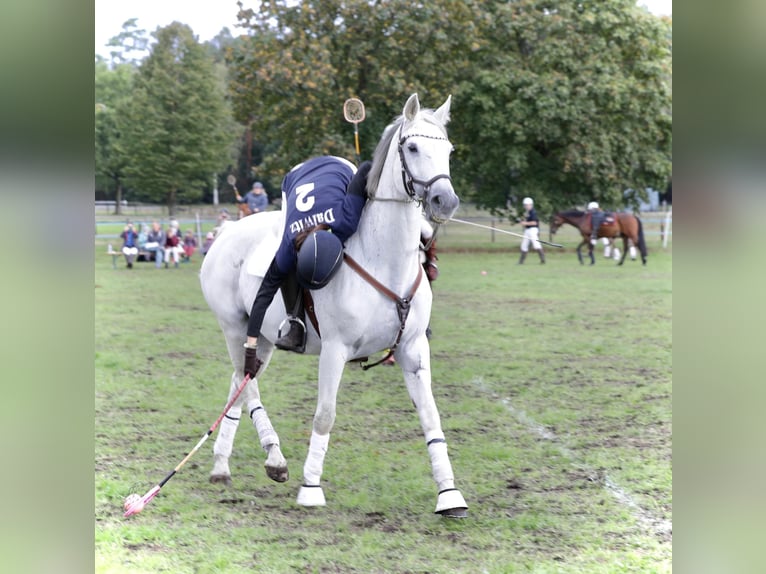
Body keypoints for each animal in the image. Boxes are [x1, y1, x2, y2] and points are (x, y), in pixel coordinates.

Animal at [200, 93, 468, 516]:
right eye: (412, 147)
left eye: (449, 150)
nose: (446, 200)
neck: (384, 258)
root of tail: (226, 230)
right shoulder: (335, 349)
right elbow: (325, 415)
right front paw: (311, 488)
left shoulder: (412, 349)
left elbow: (430, 415)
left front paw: (449, 493)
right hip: (233, 325)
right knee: (247, 384)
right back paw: (274, 458)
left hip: (262, 337)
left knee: (238, 381)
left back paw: (224, 465)